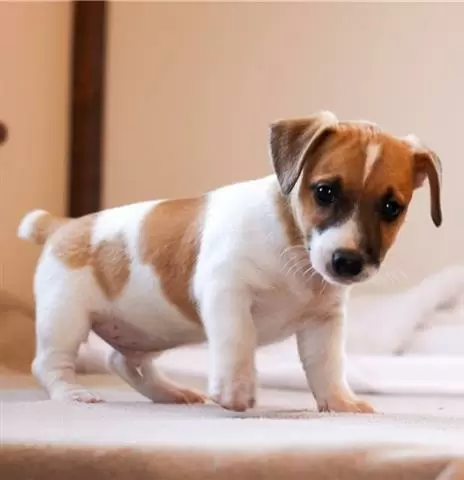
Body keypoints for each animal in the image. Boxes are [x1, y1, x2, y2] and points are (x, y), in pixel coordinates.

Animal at [18, 111, 442, 412]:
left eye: (391, 208)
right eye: (324, 192)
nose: (348, 262)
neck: (293, 248)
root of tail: (63, 225)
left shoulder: (324, 323)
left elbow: (327, 366)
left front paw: (339, 402)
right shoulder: (227, 291)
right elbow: (239, 340)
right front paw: (235, 389)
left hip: (151, 330)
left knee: (125, 362)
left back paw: (169, 392)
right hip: (66, 319)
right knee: (49, 364)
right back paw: (72, 394)